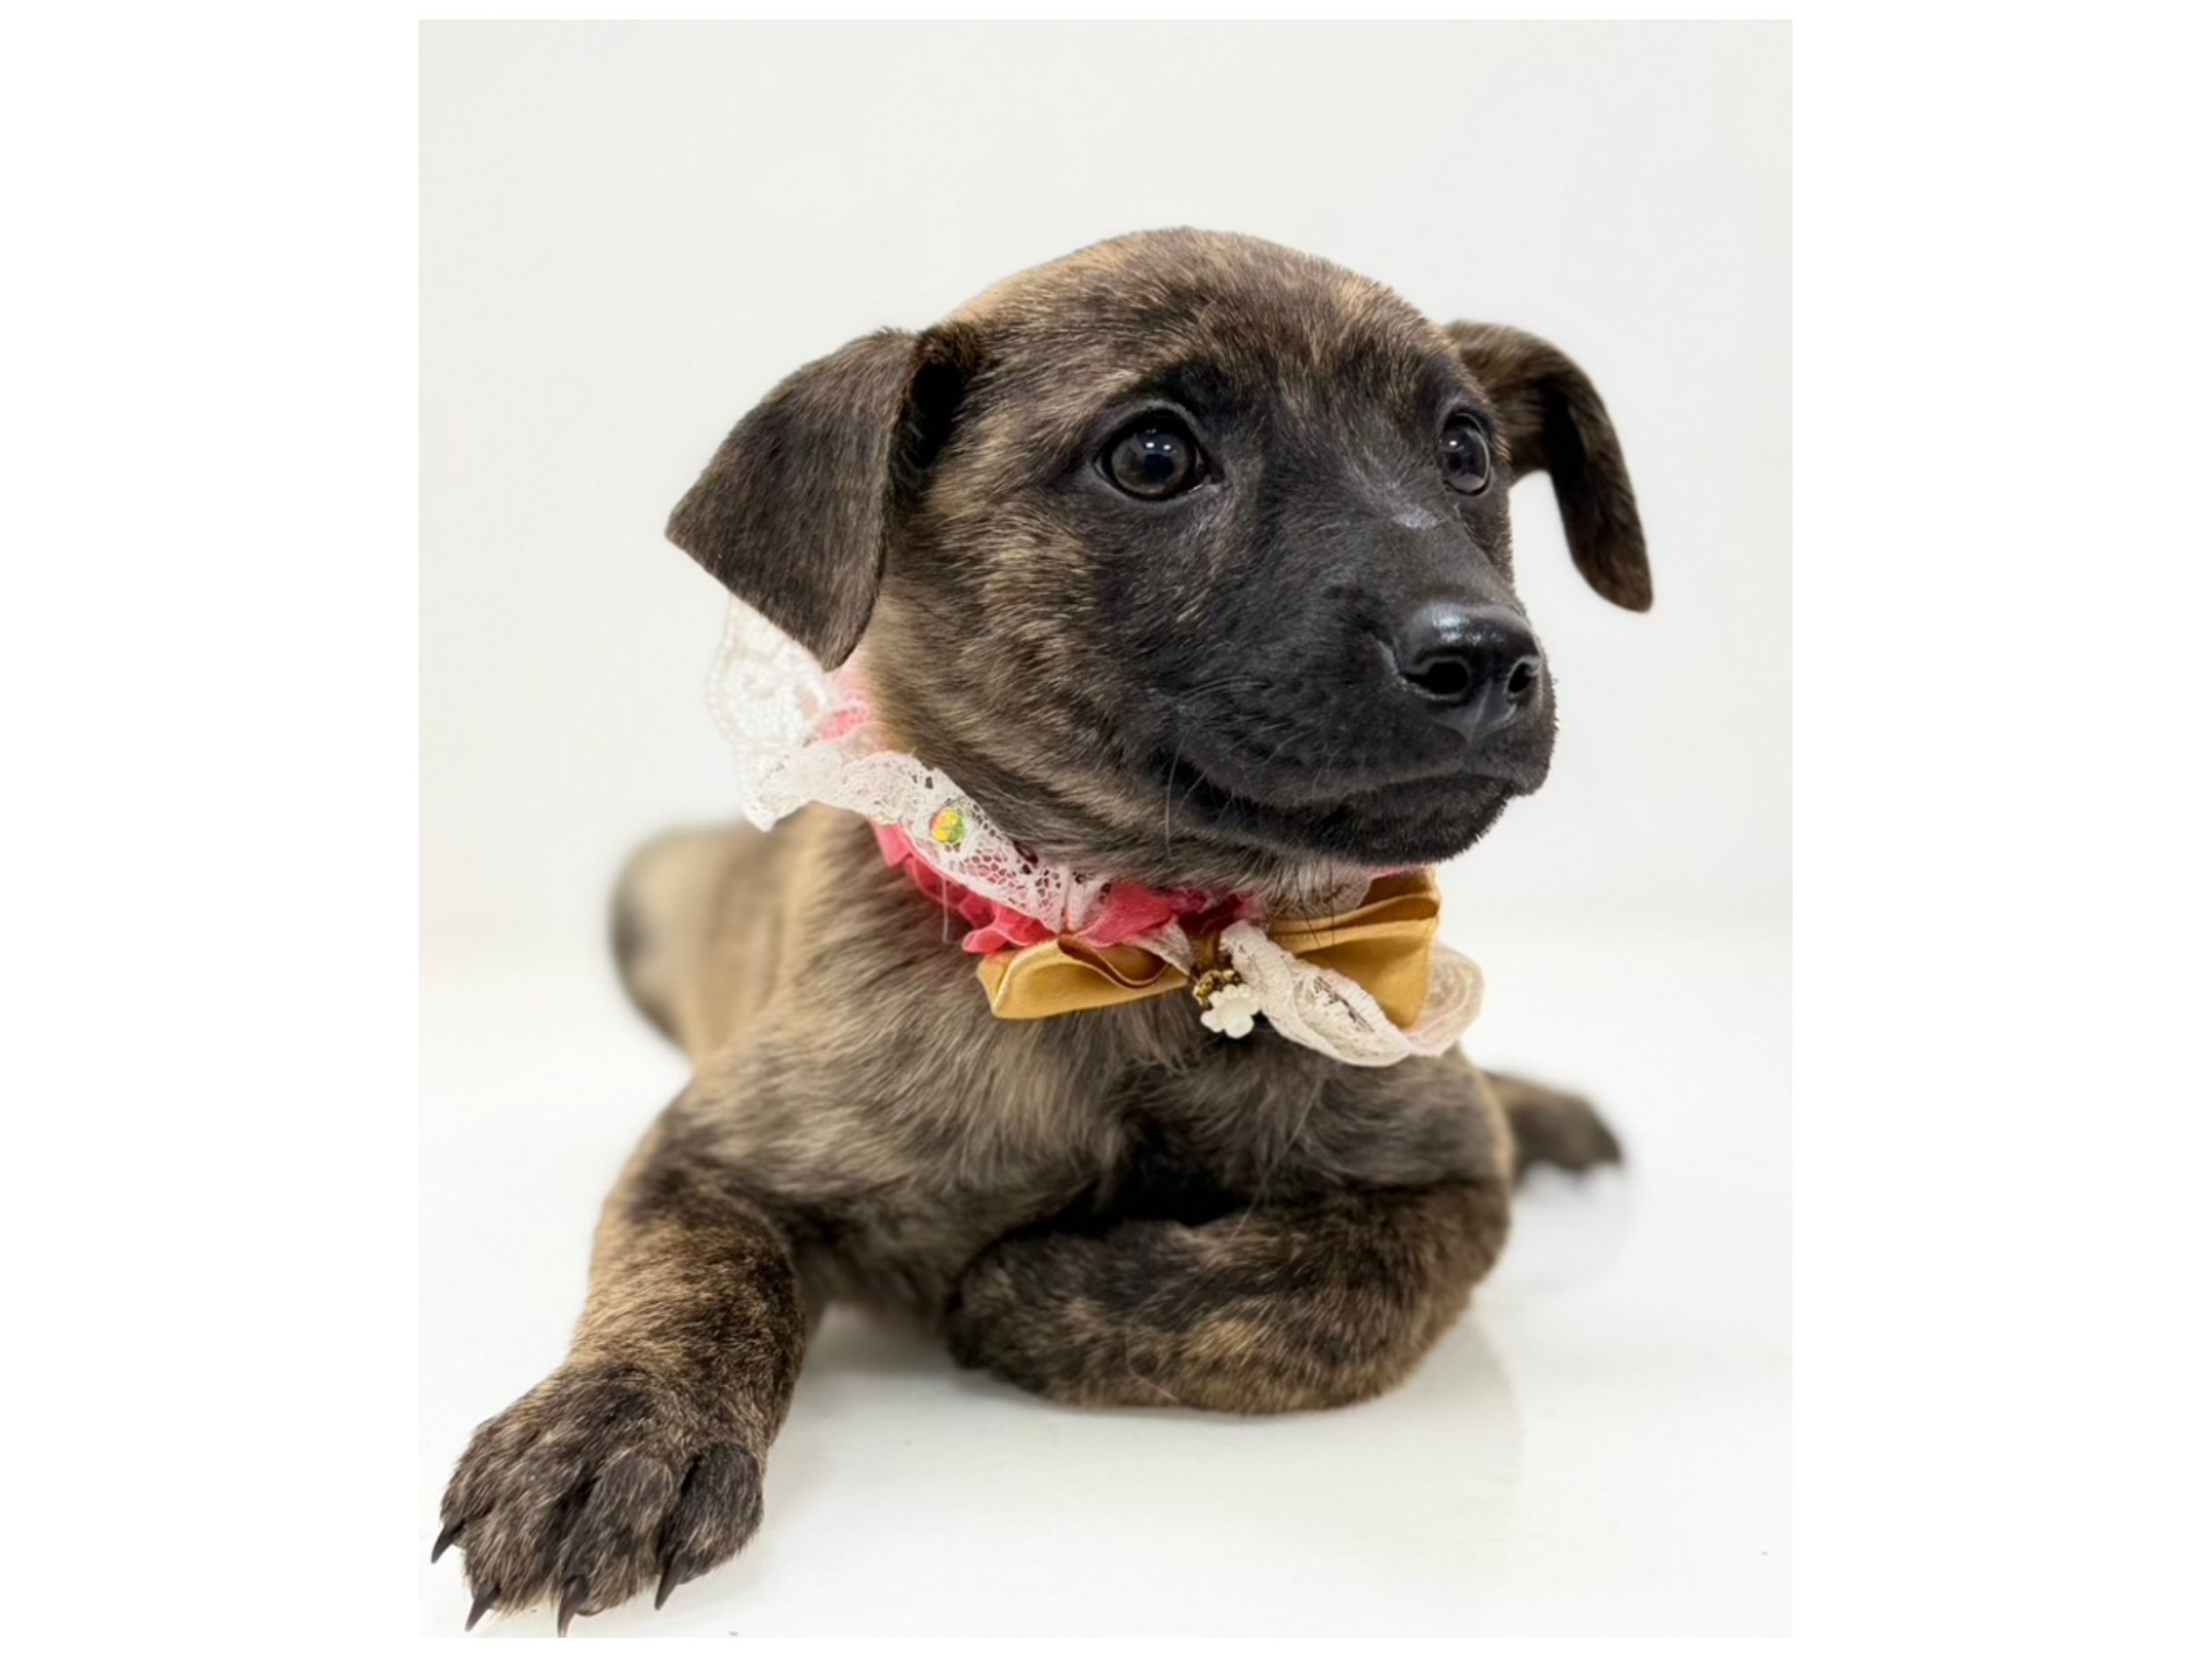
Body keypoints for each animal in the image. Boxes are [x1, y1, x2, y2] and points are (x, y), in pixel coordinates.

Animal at [434, 228, 1646, 1633]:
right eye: (1154, 458)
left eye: (1463, 452)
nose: (1487, 658)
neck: (1136, 954)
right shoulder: (710, 1151)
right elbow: (687, 1284)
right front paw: (610, 1433)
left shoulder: (1441, 1182)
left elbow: (1312, 1292)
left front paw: (1022, 1290)